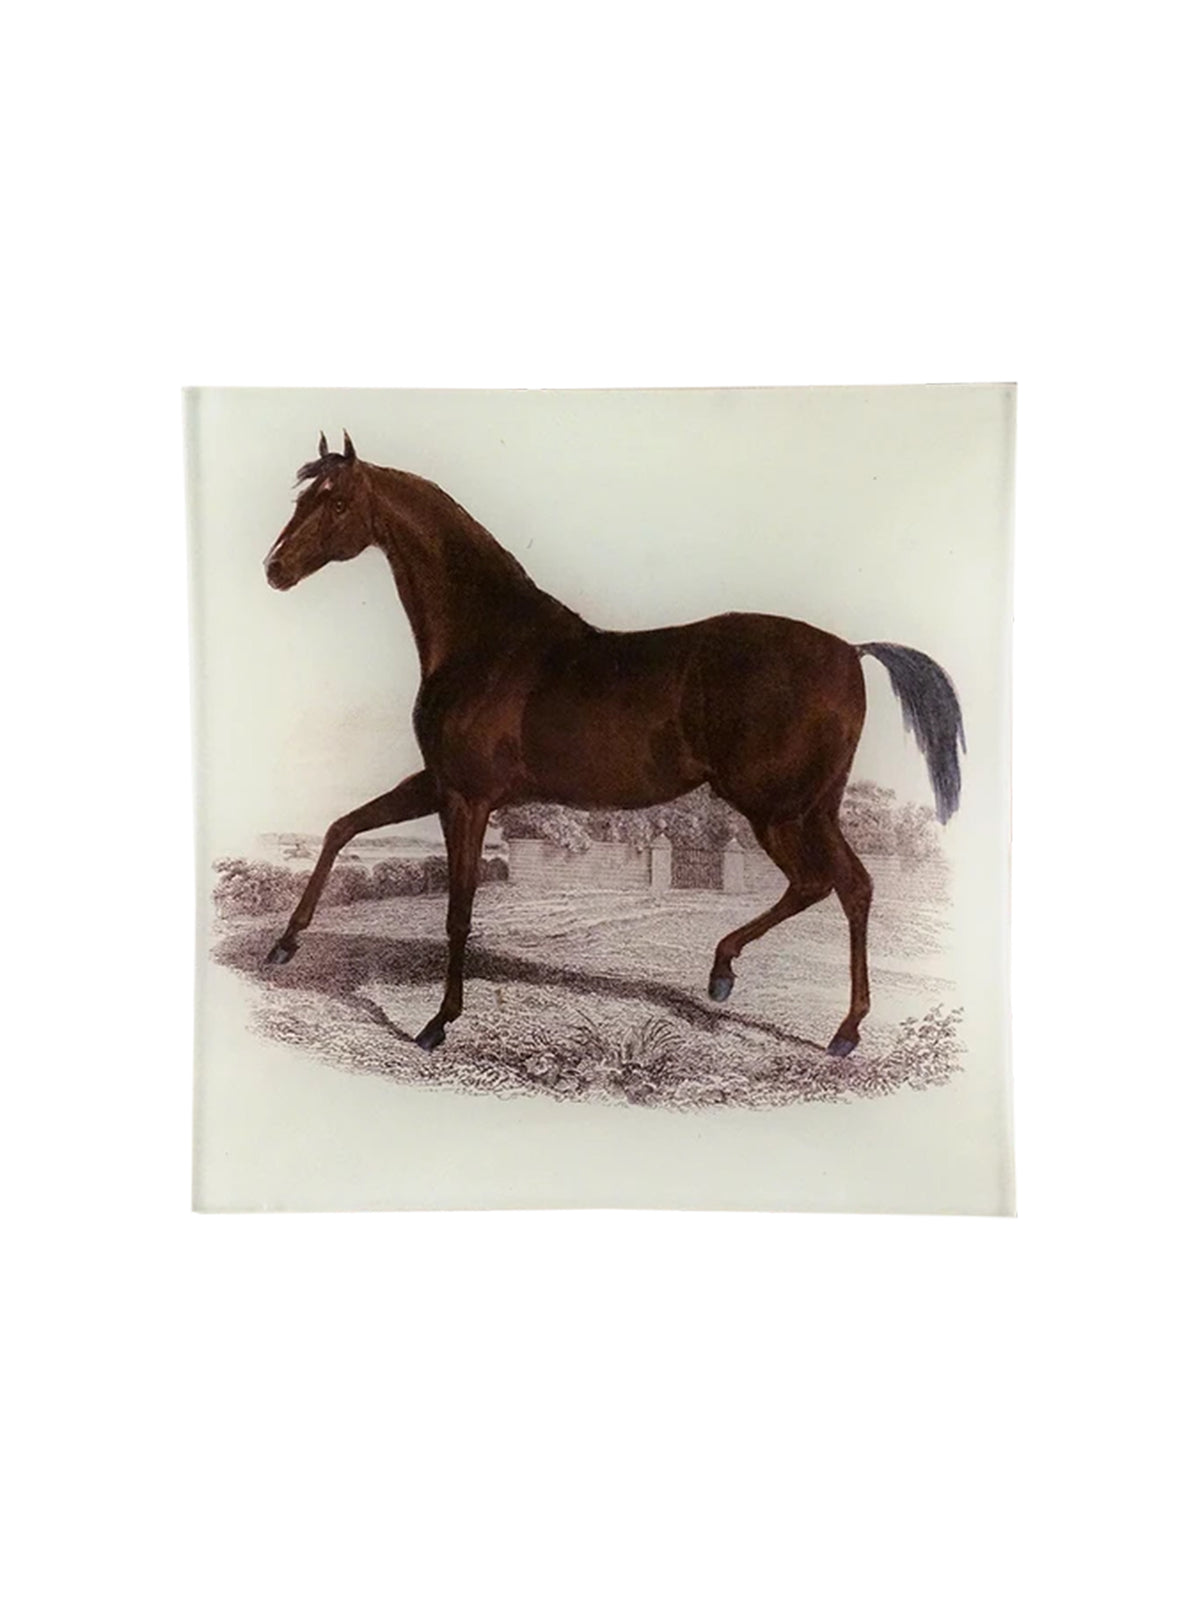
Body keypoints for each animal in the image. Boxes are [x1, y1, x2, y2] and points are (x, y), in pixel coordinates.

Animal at [262, 431, 965, 1057]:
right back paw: (829, 1024)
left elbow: (458, 910)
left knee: (821, 884)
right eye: (303, 496)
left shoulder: (467, 797)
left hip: (776, 810)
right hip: (814, 809)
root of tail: (850, 651)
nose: (275, 569)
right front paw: (283, 946)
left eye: (336, 502)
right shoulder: (437, 783)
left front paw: (438, 1023)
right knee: (854, 887)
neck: (488, 642)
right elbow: (341, 829)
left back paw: (743, 983)